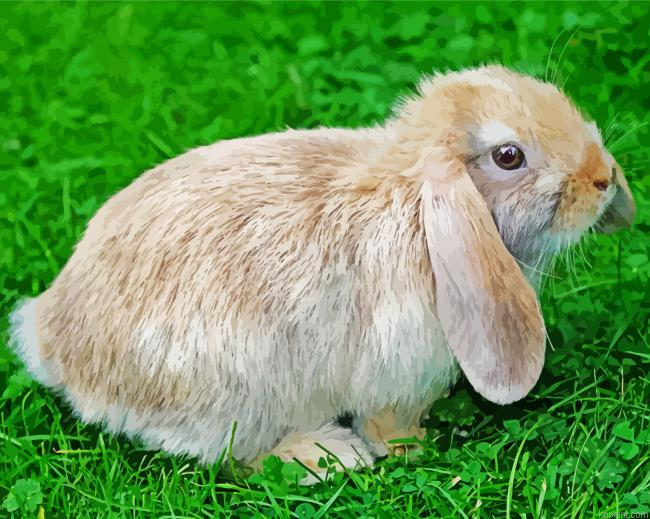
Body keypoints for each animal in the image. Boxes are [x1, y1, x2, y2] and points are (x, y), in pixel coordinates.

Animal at [9, 65, 636, 483]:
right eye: (509, 156)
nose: (603, 178)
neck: (416, 205)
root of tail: (51, 342)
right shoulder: (395, 368)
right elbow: (388, 421)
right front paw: (415, 446)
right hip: (240, 390)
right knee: (238, 457)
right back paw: (328, 455)